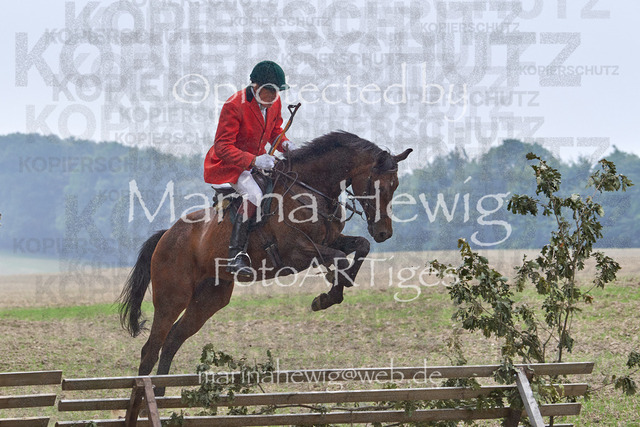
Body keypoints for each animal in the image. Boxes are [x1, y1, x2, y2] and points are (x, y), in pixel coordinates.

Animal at [118, 131, 412, 393]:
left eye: (395, 186)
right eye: (377, 186)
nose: (384, 233)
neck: (311, 190)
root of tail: (167, 234)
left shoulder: (331, 240)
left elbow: (361, 245)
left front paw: (336, 288)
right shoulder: (297, 252)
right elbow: (339, 260)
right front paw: (327, 295)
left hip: (210, 298)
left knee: (172, 341)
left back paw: (160, 396)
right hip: (173, 298)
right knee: (151, 349)